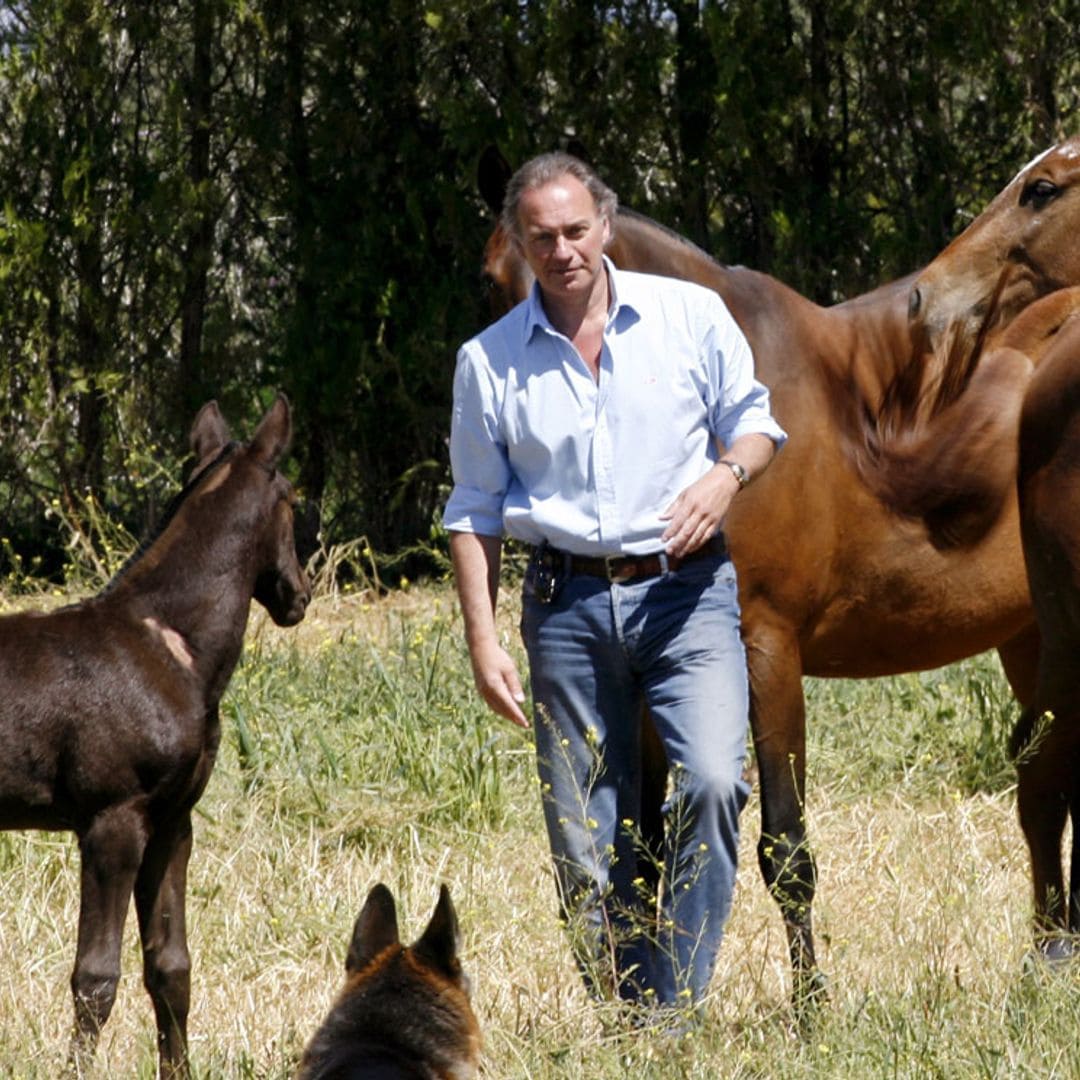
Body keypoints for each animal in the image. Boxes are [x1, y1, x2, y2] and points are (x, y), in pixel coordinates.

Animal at [0, 393, 311, 1075]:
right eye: (291, 499)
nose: (298, 596)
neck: (173, 649)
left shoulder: (172, 820)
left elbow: (170, 969)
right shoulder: (112, 818)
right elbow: (94, 977)